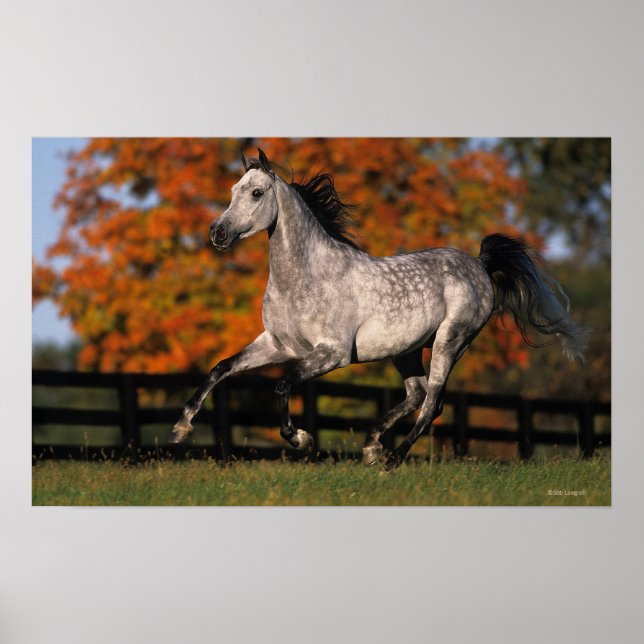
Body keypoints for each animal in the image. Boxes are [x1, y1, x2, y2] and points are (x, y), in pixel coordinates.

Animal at [169, 148, 588, 470]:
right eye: (232, 191)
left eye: (256, 193)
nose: (218, 233)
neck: (305, 278)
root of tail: (480, 265)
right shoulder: (277, 344)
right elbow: (221, 368)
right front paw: (181, 428)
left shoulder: (332, 353)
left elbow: (284, 384)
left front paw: (301, 439)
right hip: (405, 351)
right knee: (417, 394)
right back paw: (371, 447)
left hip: (451, 342)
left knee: (432, 403)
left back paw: (392, 459)